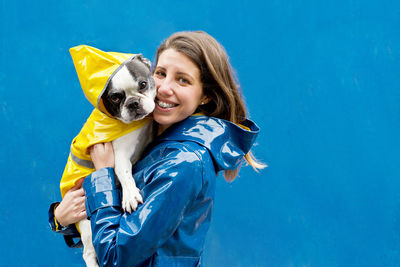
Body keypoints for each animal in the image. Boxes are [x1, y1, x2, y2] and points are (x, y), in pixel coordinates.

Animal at [60, 46, 155, 267]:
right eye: (115, 98)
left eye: (143, 84)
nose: (133, 103)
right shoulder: (119, 155)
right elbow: (124, 172)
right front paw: (130, 195)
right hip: (87, 225)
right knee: (88, 252)